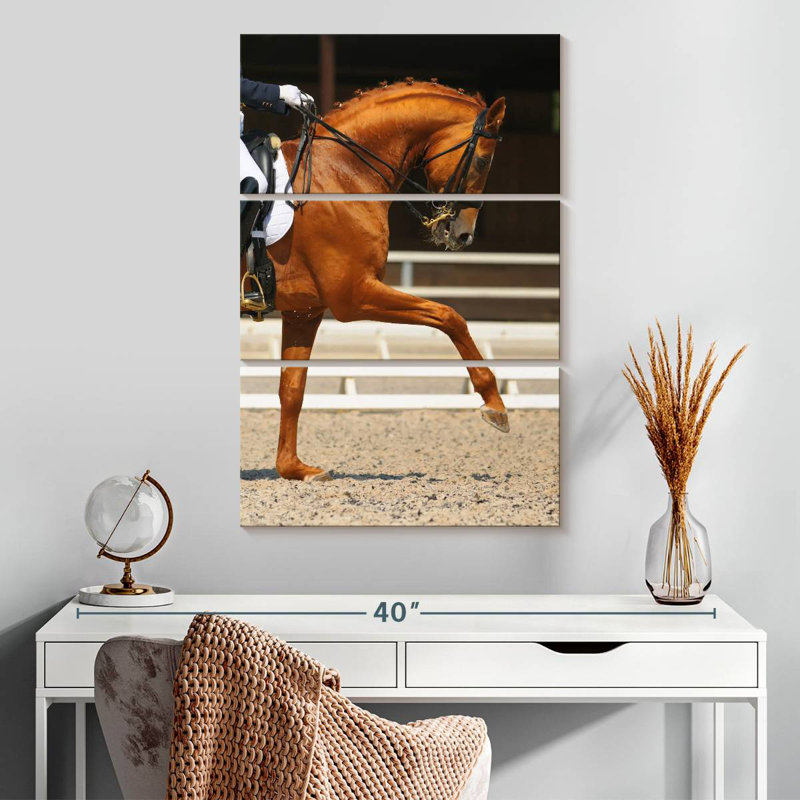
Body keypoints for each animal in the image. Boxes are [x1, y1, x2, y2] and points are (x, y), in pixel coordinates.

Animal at [242, 80, 509, 481]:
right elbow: (449, 316)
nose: (463, 235)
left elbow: (292, 388)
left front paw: (293, 468)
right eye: (482, 160)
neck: (342, 173)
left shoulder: (306, 311)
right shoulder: (354, 296)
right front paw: (494, 403)